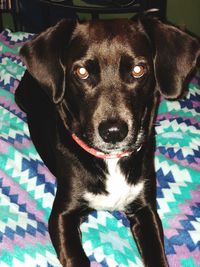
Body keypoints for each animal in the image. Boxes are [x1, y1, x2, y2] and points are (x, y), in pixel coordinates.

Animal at [14, 17, 199, 267]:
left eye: (138, 70)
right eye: (81, 71)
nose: (113, 132)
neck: (111, 161)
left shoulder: (145, 209)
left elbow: (156, 253)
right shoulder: (62, 215)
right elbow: (76, 257)